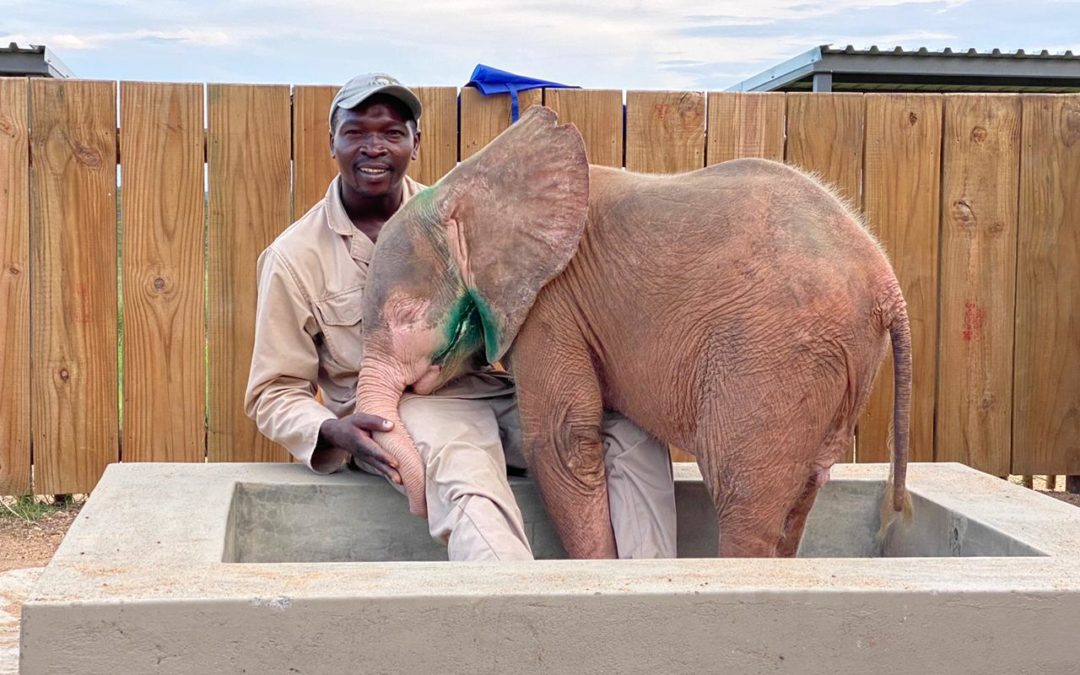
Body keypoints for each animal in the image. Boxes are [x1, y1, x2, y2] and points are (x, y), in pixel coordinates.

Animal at [355, 105, 912, 559]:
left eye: (404, 316)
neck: (469, 187)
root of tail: (887, 283)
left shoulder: (550, 302)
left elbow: (561, 440)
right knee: (805, 489)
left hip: (775, 354)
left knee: (742, 493)